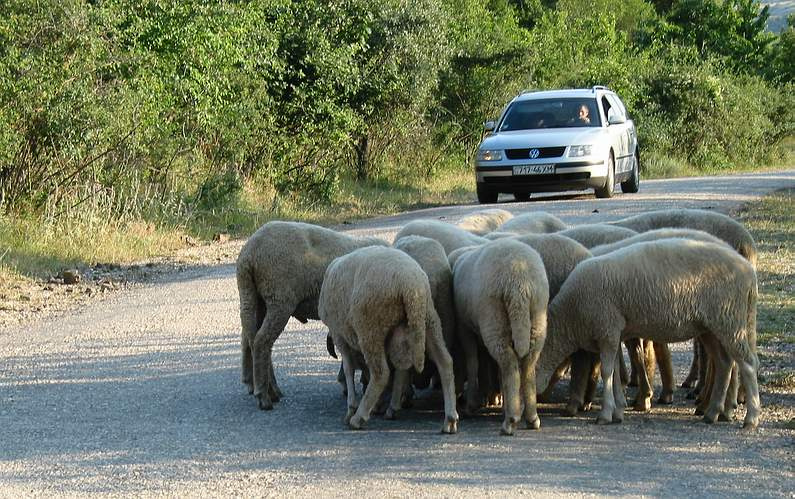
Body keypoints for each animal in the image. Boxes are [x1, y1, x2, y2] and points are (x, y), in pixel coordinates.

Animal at [236, 221, 388, 410]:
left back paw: (267, 388)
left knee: (250, 338)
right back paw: (263, 396)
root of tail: (250, 252)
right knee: (262, 341)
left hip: (252, 296)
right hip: (279, 299)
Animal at [318, 246, 459, 433]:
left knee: (381, 373)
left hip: (370, 326)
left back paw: (358, 418)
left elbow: (349, 369)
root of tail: (410, 285)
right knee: (445, 362)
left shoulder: (339, 334)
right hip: (428, 318)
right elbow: (398, 370)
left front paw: (352, 408)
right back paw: (450, 420)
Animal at [452, 238, 549, 435]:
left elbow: (472, 361)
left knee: (509, 363)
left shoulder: (464, 327)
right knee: (528, 363)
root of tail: (519, 282)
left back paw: (510, 421)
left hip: (494, 318)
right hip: (536, 317)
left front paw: (471, 404)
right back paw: (531, 418)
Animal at [535, 238, 761, 430]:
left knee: (748, 364)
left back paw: (751, 418)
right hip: (711, 327)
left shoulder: (607, 329)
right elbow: (615, 372)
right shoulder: (614, 334)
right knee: (724, 363)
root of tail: (749, 272)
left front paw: (605, 414)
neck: (570, 316)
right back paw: (712, 413)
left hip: (729, 319)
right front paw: (618, 410)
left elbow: (607, 373)